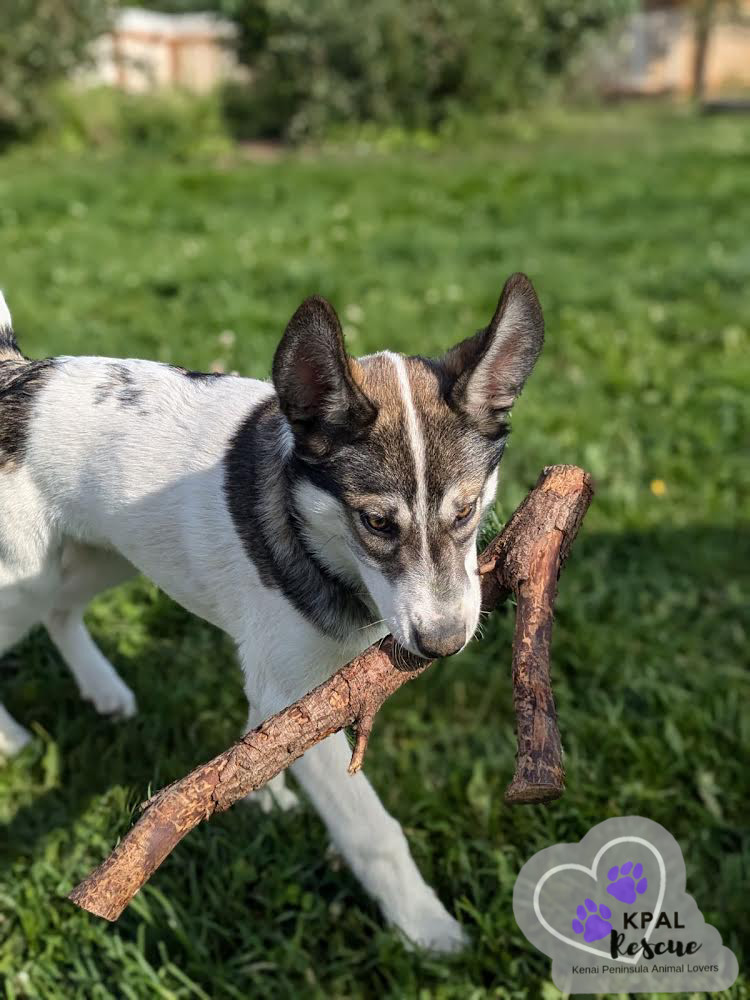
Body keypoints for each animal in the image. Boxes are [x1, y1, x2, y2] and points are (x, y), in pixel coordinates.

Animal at [0, 274, 544, 952]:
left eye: (467, 511)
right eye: (375, 522)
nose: (443, 643)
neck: (316, 535)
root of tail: (16, 373)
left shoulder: (291, 683)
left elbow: (260, 740)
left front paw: (256, 790)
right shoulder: (297, 693)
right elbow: (370, 829)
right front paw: (428, 928)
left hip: (110, 553)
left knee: (62, 609)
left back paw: (104, 689)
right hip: (27, 574)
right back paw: (13, 737)